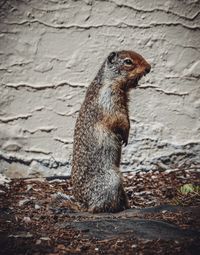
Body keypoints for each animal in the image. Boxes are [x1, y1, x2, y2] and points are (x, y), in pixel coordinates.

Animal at [71, 49, 151, 213]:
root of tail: (84, 204)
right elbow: (120, 119)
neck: (110, 80)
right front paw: (125, 136)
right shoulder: (110, 99)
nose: (149, 68)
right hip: (113, 179)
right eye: (128, 61)